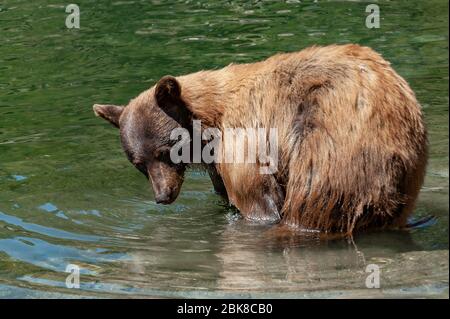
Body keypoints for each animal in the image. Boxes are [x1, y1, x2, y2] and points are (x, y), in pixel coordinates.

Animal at [93, 44, 428, 235]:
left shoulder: (243, 140)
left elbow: (256, 199)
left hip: (331, 144)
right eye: (139, 163)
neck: (208, 124)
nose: (163, 196)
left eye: (165, 151)